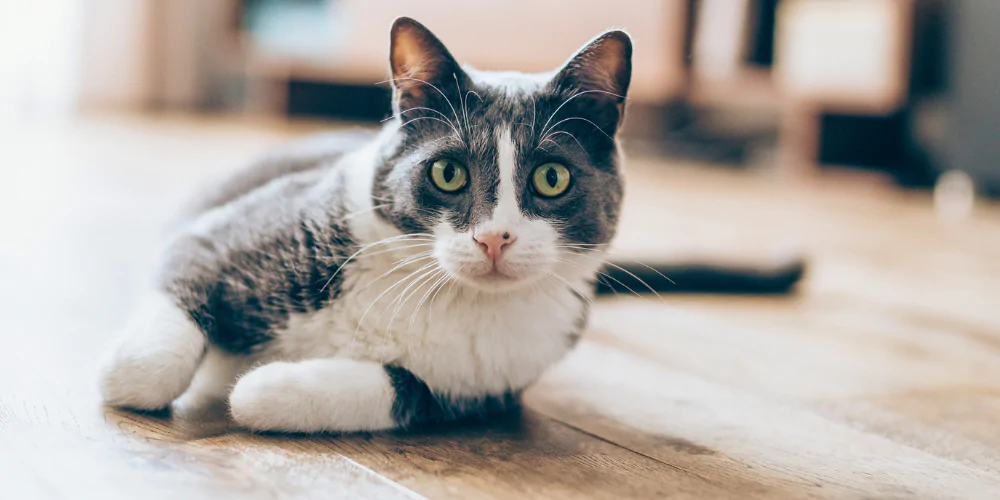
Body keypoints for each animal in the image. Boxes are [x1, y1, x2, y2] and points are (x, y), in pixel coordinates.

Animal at [101, 18, 632, 434]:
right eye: (448, 172)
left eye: (551, 178)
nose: (494, 238)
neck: (442, 292)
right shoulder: (217, 236)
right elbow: (149, 360)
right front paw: (121, 376)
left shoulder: (484, 386)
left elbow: (399, 390)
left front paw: (265, 386)